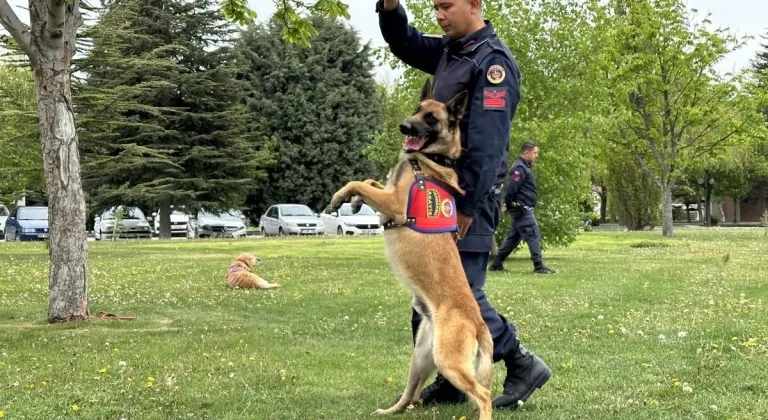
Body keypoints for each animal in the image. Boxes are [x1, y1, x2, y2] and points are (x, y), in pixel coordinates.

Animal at [328, 79, 492, 420]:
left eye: (431, 118)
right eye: (417, 109)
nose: (404, 127)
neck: (430, 161)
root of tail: (478, 322)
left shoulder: (394, 203)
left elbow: (358, 182)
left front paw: (342, 196)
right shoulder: (387, 192)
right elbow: (369, 180)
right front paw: (354, 201)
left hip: (448, 361)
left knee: (483, 395)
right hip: (421, 357)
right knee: (410, 393)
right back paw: (390, 410)